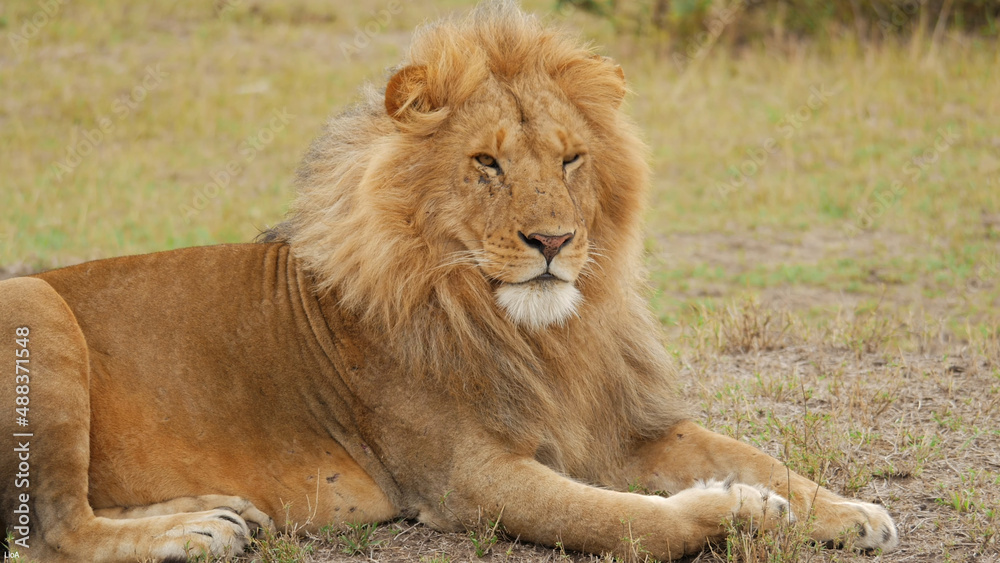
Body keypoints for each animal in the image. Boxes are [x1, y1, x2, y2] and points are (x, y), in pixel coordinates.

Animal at [0, 2, 898, 561]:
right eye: (487, 162)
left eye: (571, 159)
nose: (553, 240)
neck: (533, 330)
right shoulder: (466, 477)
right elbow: (627, 521)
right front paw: (739, 508)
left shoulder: (618, 426)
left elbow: (755, 452)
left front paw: (849, 512)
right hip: (35, 304)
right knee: (54, 529)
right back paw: (193, 534)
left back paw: (221, 514)